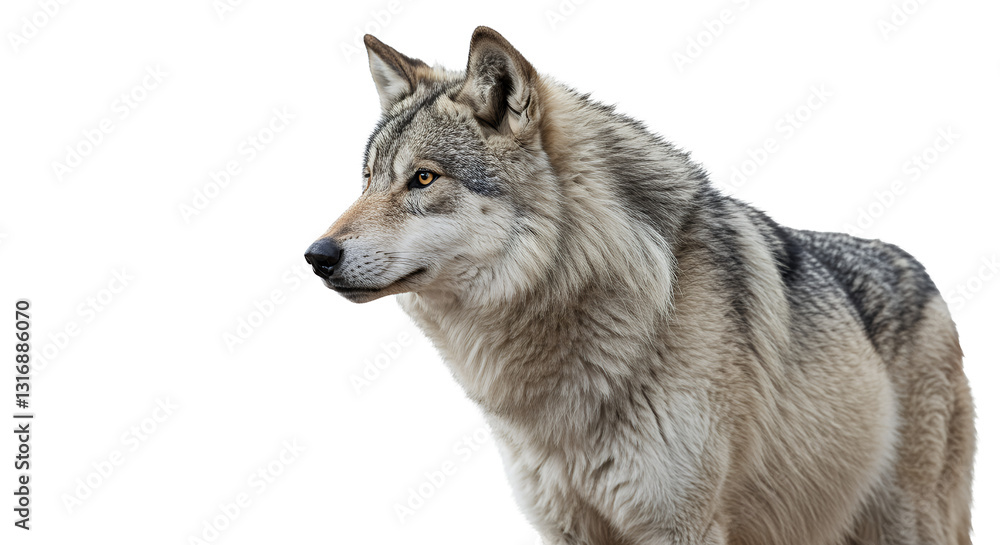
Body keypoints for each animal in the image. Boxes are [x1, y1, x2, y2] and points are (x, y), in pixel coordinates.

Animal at [305, 27, 975, 545]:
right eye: (367, 180)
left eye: (423, 178)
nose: (316, 255)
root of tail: (923, 271)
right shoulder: (567, 527)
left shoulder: (681, 524)